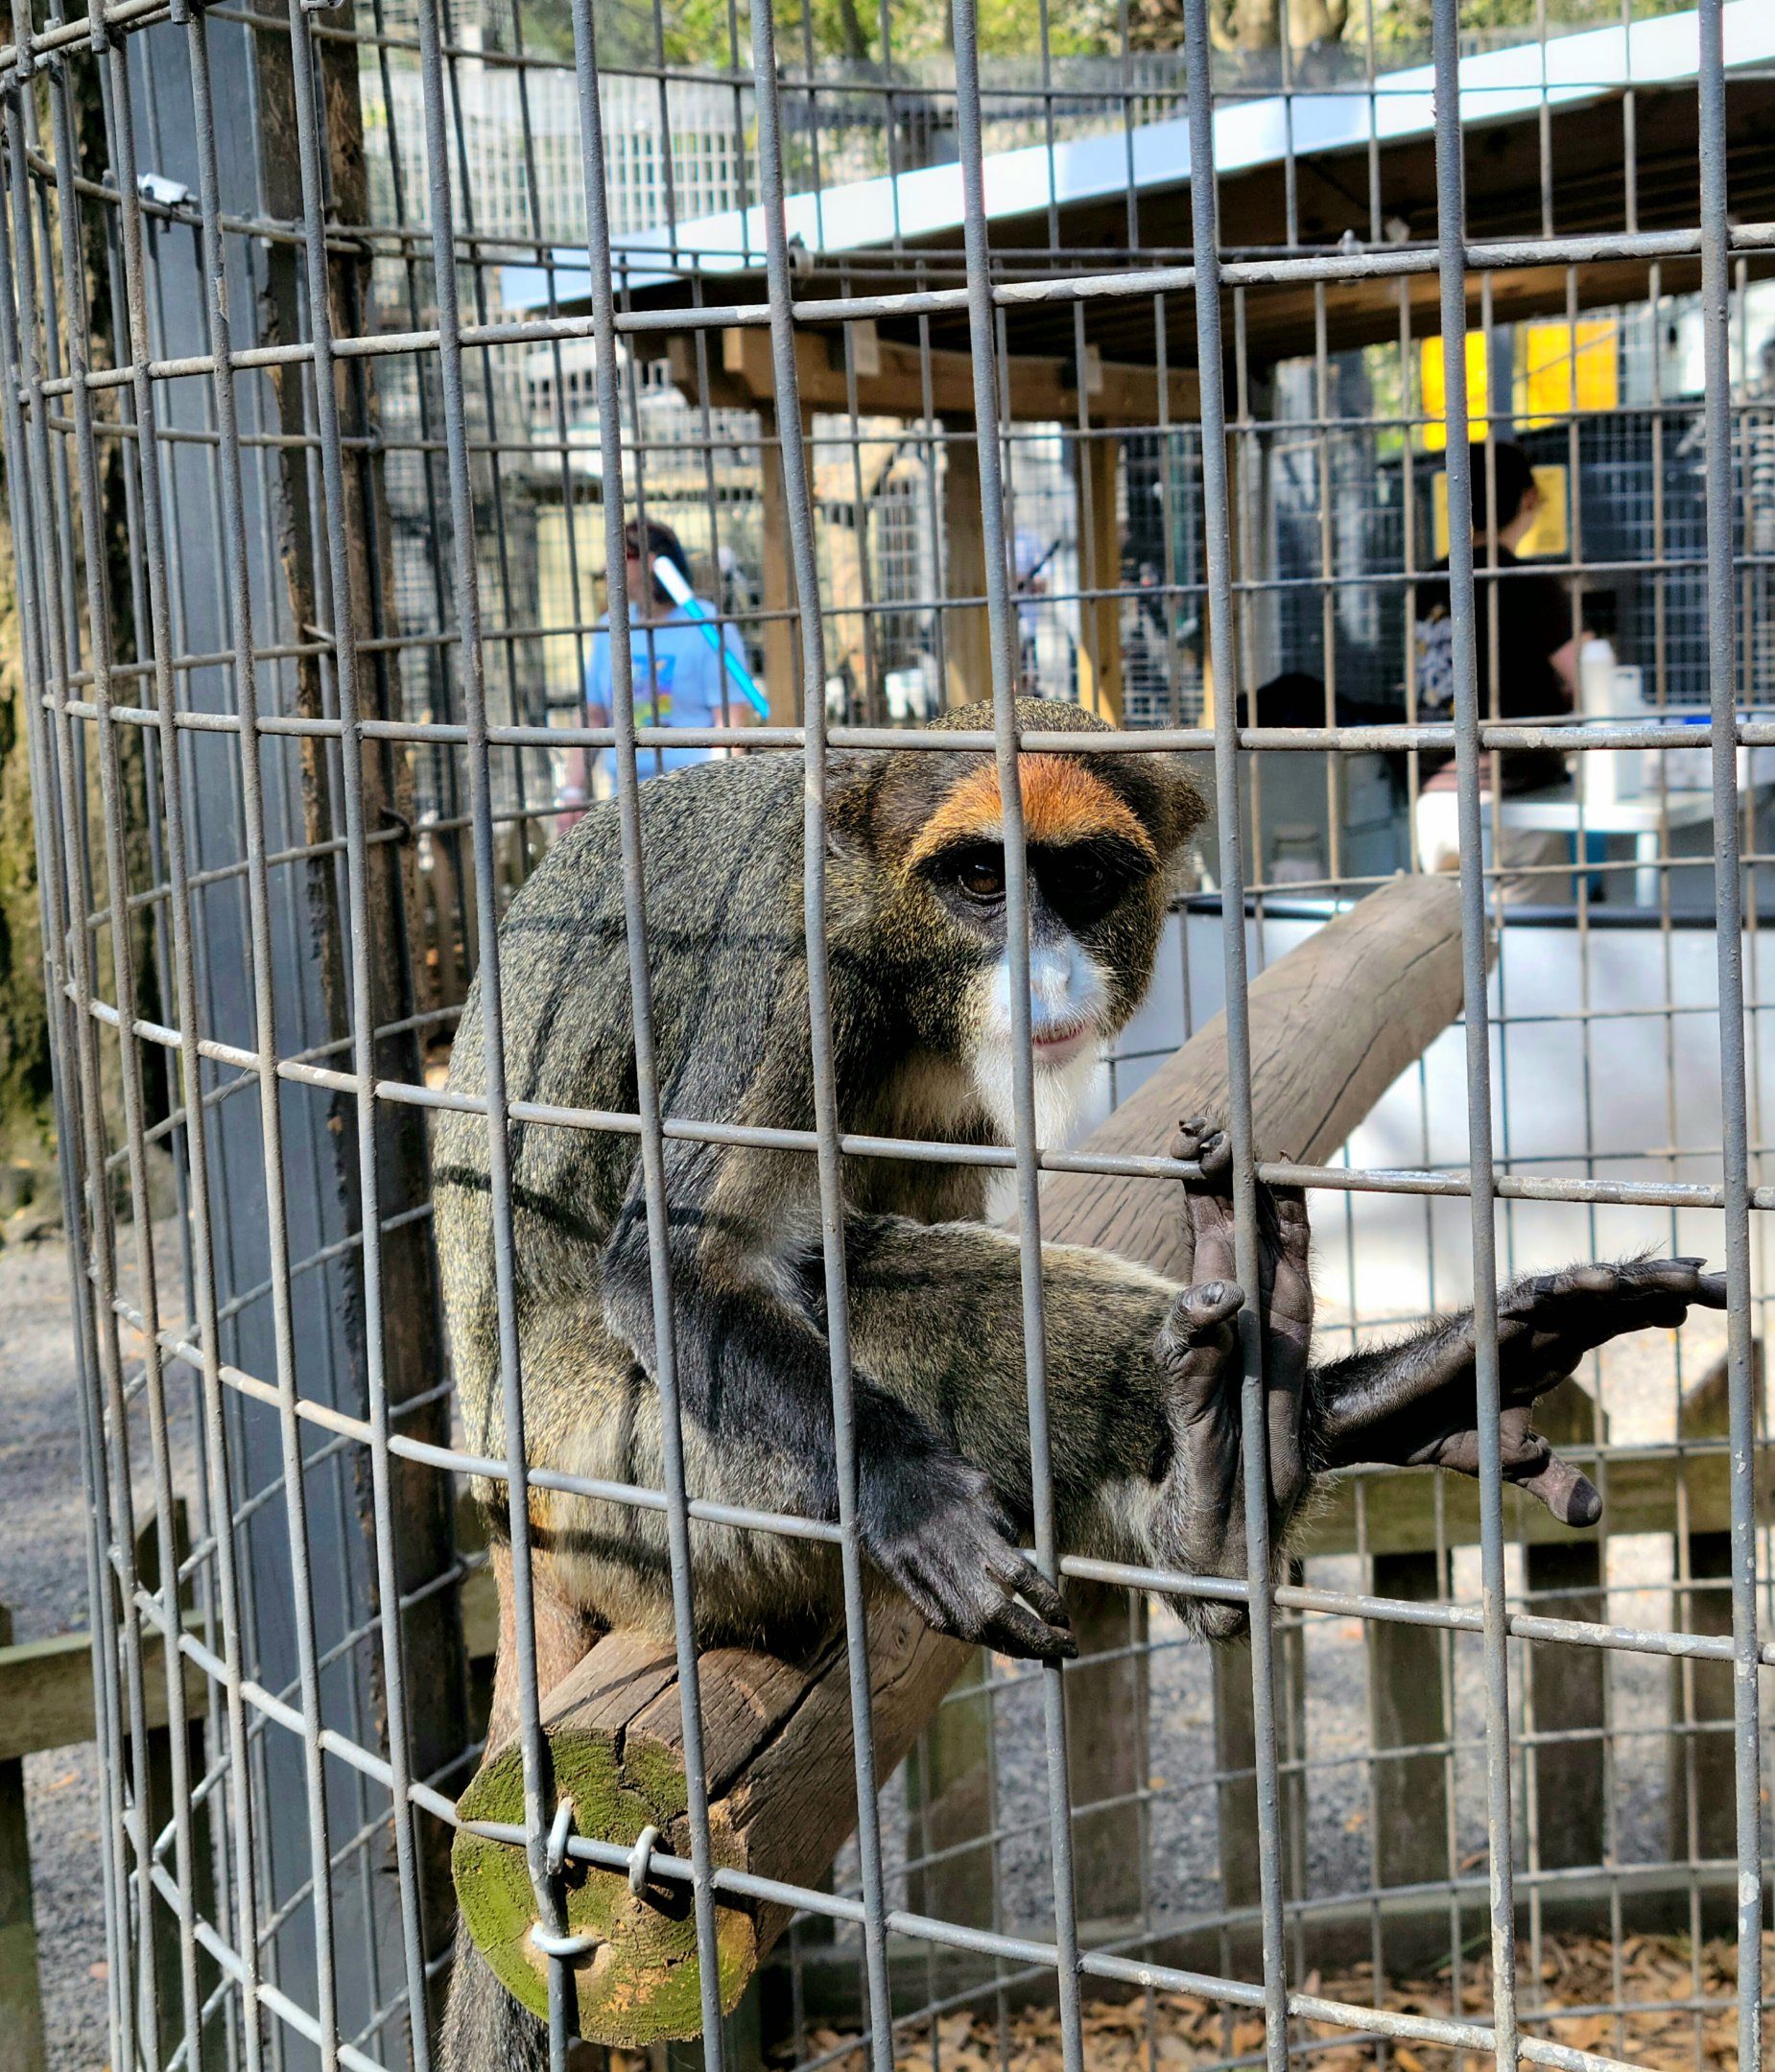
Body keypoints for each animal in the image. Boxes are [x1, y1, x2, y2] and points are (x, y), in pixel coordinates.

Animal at [433, 696, 1724, 2068]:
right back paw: (1232, 1486)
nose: (1043, 969)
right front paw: (911, 1501)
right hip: (618, 1476)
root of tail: (499, 1493)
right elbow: (684, 1262)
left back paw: (1297, 1440)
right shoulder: (782, 969)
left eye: (1081, 881)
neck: (885, 936)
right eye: (979, 880)